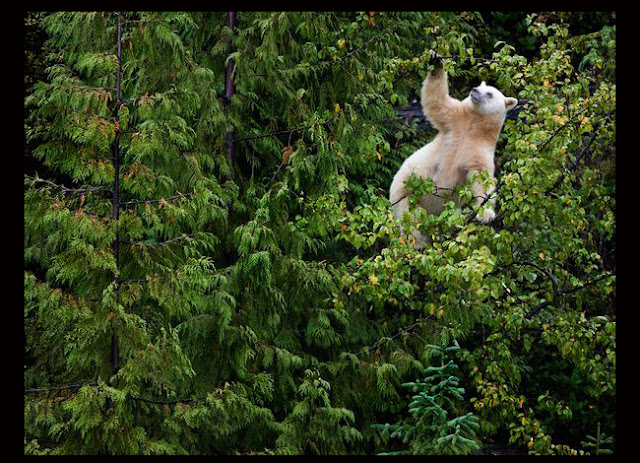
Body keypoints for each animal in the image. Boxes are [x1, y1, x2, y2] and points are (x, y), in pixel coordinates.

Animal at [388, 64, 516, 250]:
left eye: (490, 93)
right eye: (480, 85)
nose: (474, 90)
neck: (473, 126)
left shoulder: (480, 149)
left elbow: (481, 178)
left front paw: (486, 215)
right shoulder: (453, 121)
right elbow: (437, 102)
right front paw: (436, 63)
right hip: (404, 192)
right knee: (409, 217)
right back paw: (418, 243)